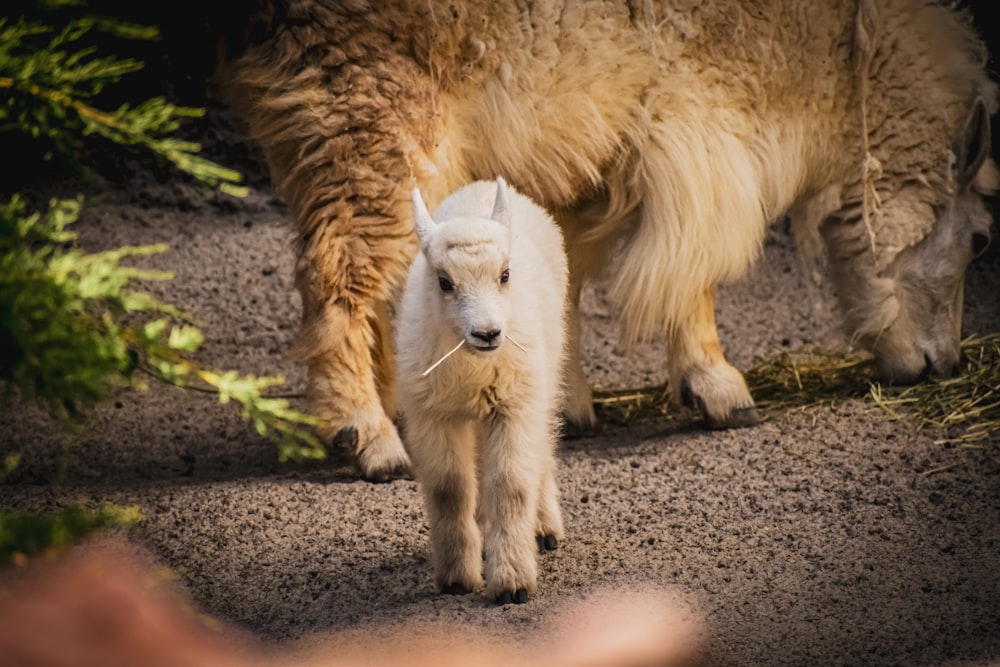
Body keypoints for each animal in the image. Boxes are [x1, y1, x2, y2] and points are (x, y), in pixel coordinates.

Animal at [230, 0, 996, 480]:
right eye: (981, 240)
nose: (946, 364)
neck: (839, 55)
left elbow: (555, 271)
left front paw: (566, 403)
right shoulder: (698, 123)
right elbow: (692, 264)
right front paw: (718, 389)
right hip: (370, 116)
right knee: (338, 276)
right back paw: (367, 437)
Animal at [398, 179, 572, 604]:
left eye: (505, 274)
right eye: (444, 282)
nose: (488, 333)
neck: (471, 367)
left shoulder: (514, 405)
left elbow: (510, 485)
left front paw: (512, 583)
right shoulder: (433, 414)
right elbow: (449, 489)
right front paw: (457, 578)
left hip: (544, 372)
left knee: (541, 449)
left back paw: (543, 528)